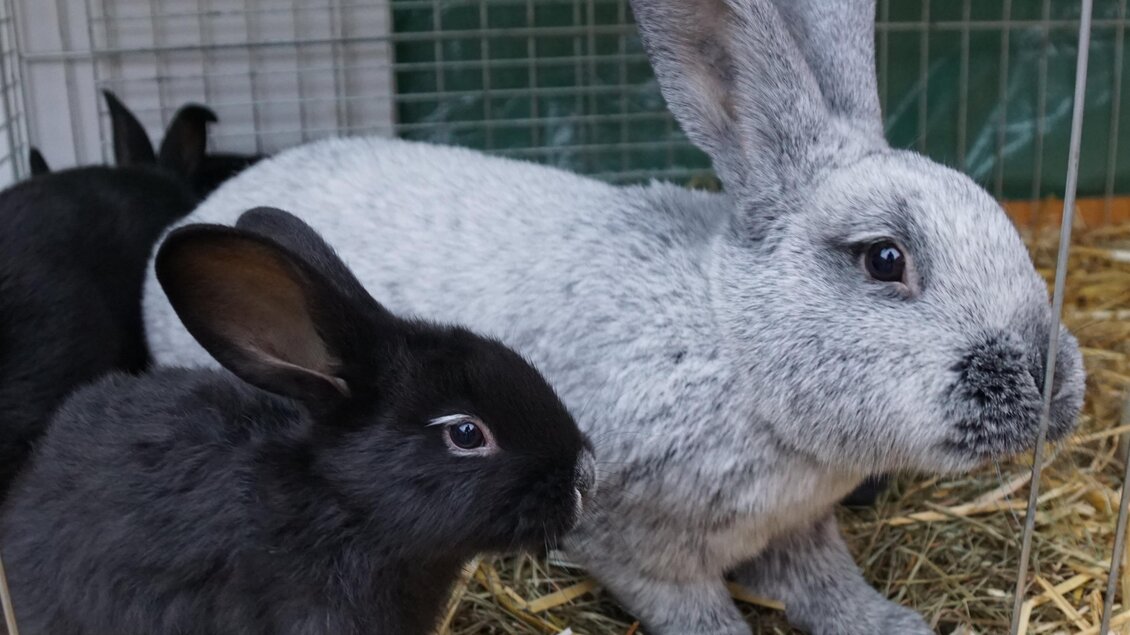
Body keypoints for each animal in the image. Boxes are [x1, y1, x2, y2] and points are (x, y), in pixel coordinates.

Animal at [139, 0, 1086, 633]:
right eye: (885, 259)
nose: (1052, 383)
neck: (731, 345)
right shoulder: (639, 545)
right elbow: (700, 612)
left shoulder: (800, 529)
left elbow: (830, 586)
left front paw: (894, 622)